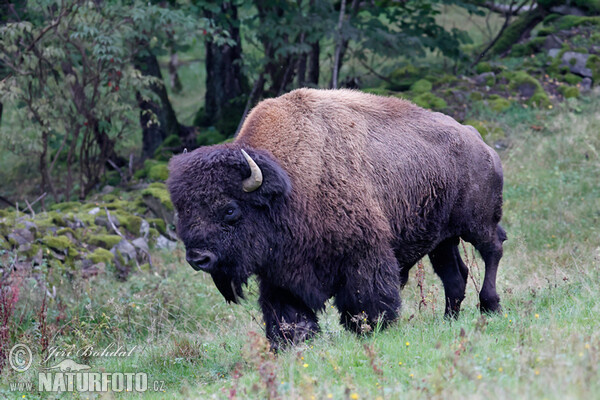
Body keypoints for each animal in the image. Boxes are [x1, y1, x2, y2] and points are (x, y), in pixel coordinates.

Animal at [168, 87, 506, 346]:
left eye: (229, 209)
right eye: (183, 210)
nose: (198, 258)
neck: (288, 185)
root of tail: (477, 139)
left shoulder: (363, 256)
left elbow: (367, 298)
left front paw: (372, 327)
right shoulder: (281, 273)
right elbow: (286, 310)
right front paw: (292, 340)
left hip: (477, 222)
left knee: (493, 249)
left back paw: (490, 306)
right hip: (442, 240)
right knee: (455, 275)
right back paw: (450, 319)